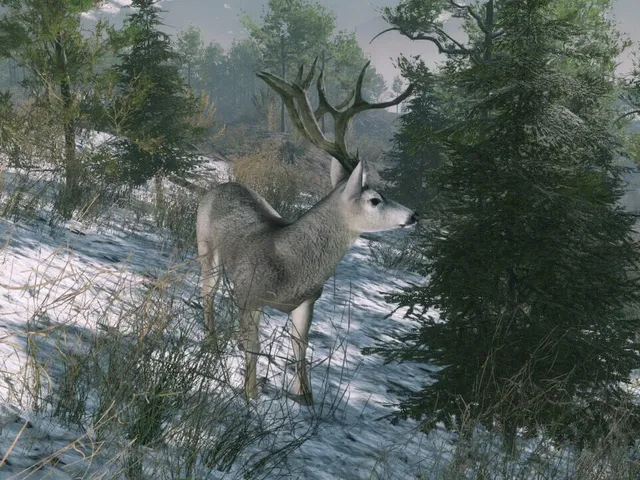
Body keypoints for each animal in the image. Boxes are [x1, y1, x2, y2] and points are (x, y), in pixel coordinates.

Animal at [196, 58, 416, 405]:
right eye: (375, 199)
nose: (413, 215)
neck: (291, 267)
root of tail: (220, 186)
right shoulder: (249, 293)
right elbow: (254, 348)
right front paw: (251, 395)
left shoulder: (307, 302)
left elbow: (301, 347)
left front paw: (307, 399)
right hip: (206, 247)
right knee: (208, 293)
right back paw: (212, 343)